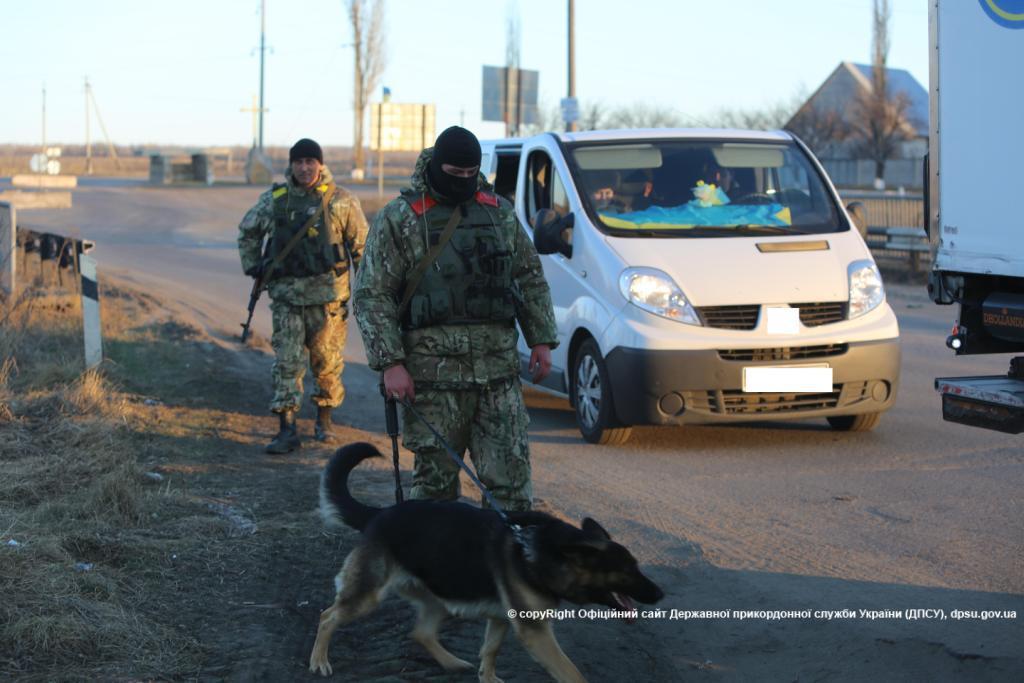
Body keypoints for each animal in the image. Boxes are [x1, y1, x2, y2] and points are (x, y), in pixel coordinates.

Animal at [309, 440, 663, 679]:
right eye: (627, 571)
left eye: (637, 566)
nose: (661, 594)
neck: (541, 550)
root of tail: (378, 514)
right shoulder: (536, 633)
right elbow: (571, 671)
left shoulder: (501, 618)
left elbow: (490, 651)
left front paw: (487, 677)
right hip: (368, 595)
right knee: (327, 616)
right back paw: (319, 660)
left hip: (440, 595)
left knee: (421, 633)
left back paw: (451, 662)